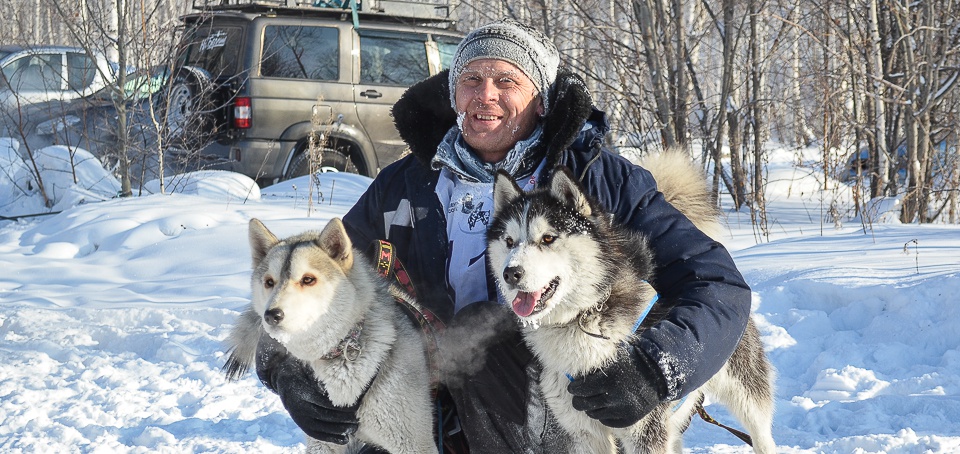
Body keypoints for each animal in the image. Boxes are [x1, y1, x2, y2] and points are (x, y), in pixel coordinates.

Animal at [223, 218, 436, 452]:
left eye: (308, 279)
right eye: (269, 282)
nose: (271, 315)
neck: (342, 350)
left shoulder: (414, 444)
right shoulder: (324, 438)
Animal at [484, 153, 776, 454]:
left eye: (548, 238)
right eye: (509, 241)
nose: (511, 273)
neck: (585, 315)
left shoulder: (642, 427)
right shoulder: (584, 434)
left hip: (744, 391)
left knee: (761, 431)